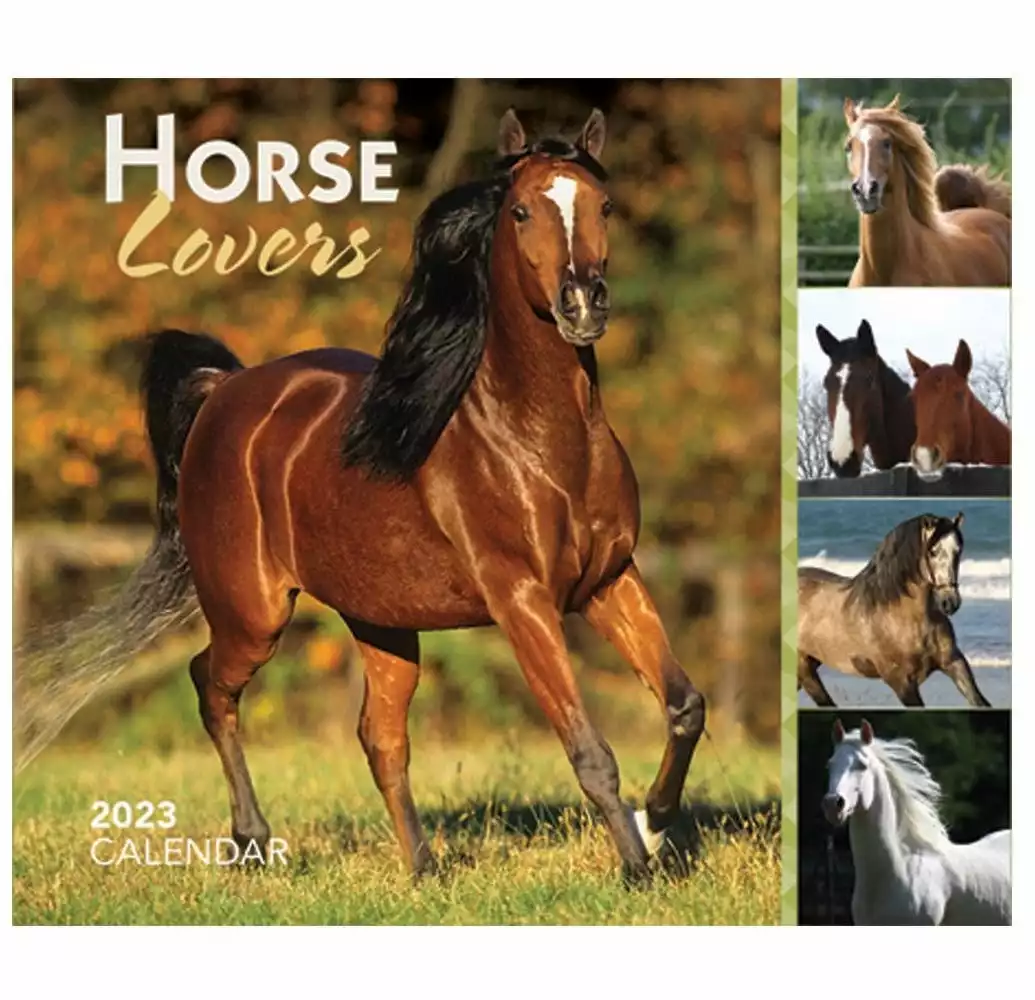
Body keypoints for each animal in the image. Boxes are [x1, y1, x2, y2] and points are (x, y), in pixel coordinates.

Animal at [21, 109, 705, 883]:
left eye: (604, 206)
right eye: (522, 210)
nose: (583, 304)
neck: (539, 443)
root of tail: (225, 391)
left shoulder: (610, 579)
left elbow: (684, 704)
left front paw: (656, 826)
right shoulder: (523, 600)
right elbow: (589, 750)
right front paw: (637, 868)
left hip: (380, 620)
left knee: (378, 736)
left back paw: (425, 869)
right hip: (253, 613)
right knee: (211, 686)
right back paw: (253, 842)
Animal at [798, 512, 990, 707]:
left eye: (958, 551)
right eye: (932, 551)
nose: (950, 602)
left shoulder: (954, 663)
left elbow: (980, 702)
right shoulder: (900, 682)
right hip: (805, 669)